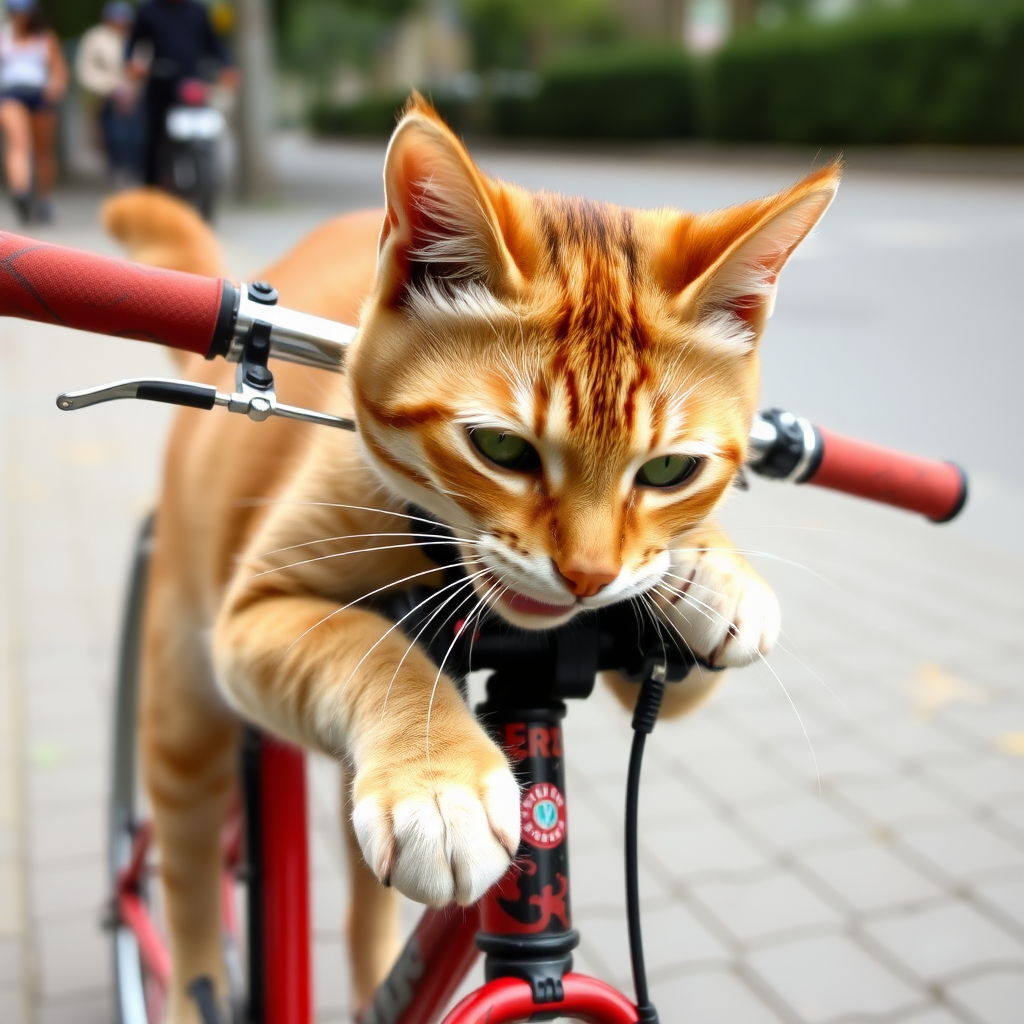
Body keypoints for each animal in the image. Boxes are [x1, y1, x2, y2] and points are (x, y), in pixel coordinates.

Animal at [108, 97, 835, 1024]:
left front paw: (717, 570)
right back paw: (188, 975)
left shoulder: (638, 662)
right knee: (184, 867)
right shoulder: (253, 614)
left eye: (669, 469)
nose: (587, 578)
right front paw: (438, 783)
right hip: (183, 702)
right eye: (502, 450)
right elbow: (373, 648)